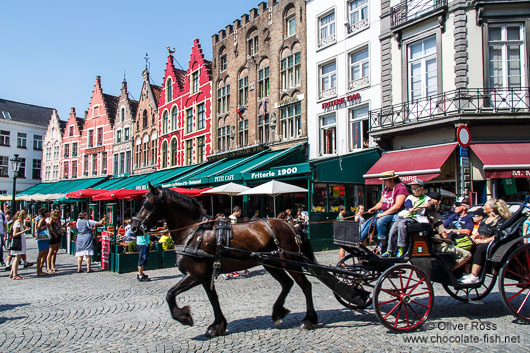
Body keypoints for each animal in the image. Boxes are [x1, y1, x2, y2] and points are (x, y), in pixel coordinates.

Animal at [130, 183, 318, 336]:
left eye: (146, 204)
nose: (134, 227)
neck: (193, 232)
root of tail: (291, 226)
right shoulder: (204, 276)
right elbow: (213, 299)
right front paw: (217, 326)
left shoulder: (194, 274)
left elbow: (170, 294)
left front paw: (184, 317)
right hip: (272, 264)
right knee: (287, 284)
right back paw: (278, 313)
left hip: (290, 263)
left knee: (306, 286)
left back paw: (309, 320)